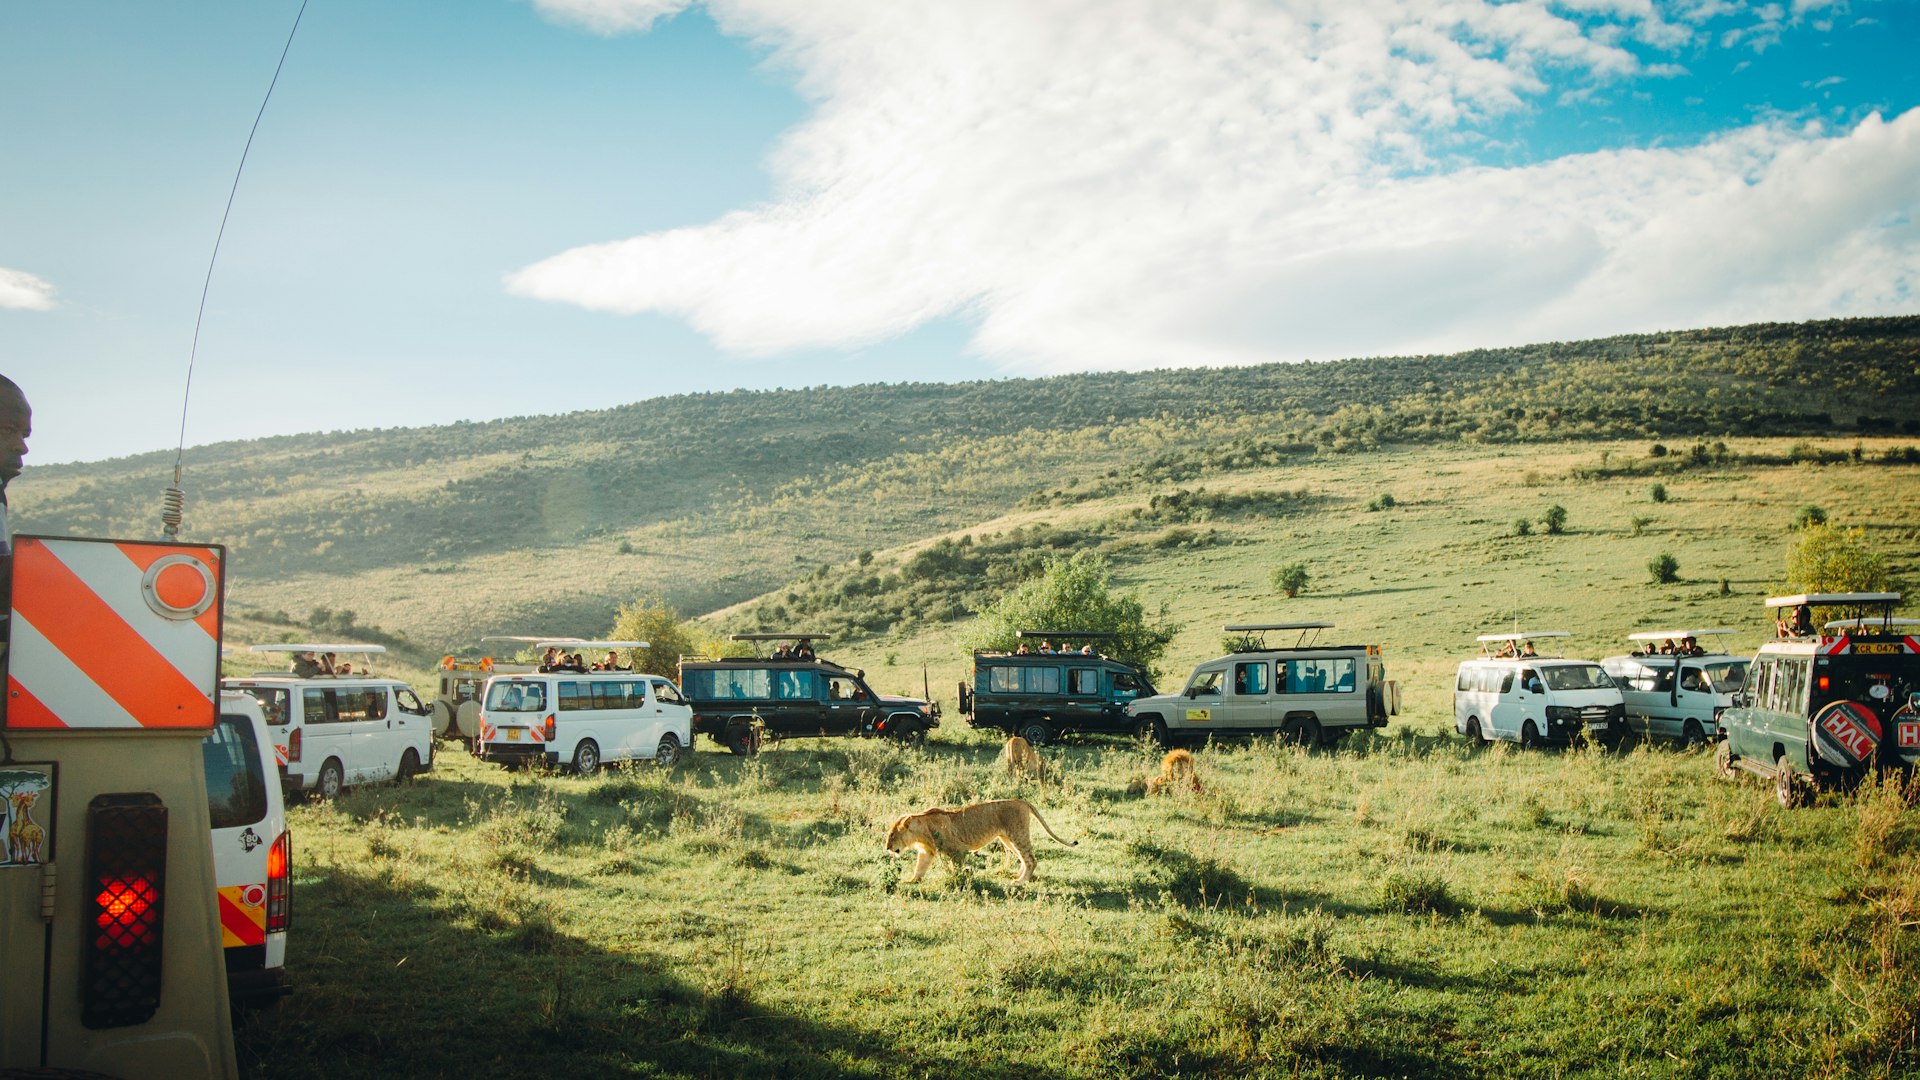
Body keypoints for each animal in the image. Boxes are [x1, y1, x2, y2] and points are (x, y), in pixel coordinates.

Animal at [884, 799, 1077, 883]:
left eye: (892, 835)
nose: (887, 848)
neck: (921, 829)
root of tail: (1021, 800)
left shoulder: (958, 850)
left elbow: (957, 869)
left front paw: (960, 877)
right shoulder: (926, 852)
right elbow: (919, 868)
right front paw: (911, 881)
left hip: (1017, 834)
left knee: (1031, 859)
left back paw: (1020, 881)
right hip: (1007, 838)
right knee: (1024, 858)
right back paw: (1018, 876)